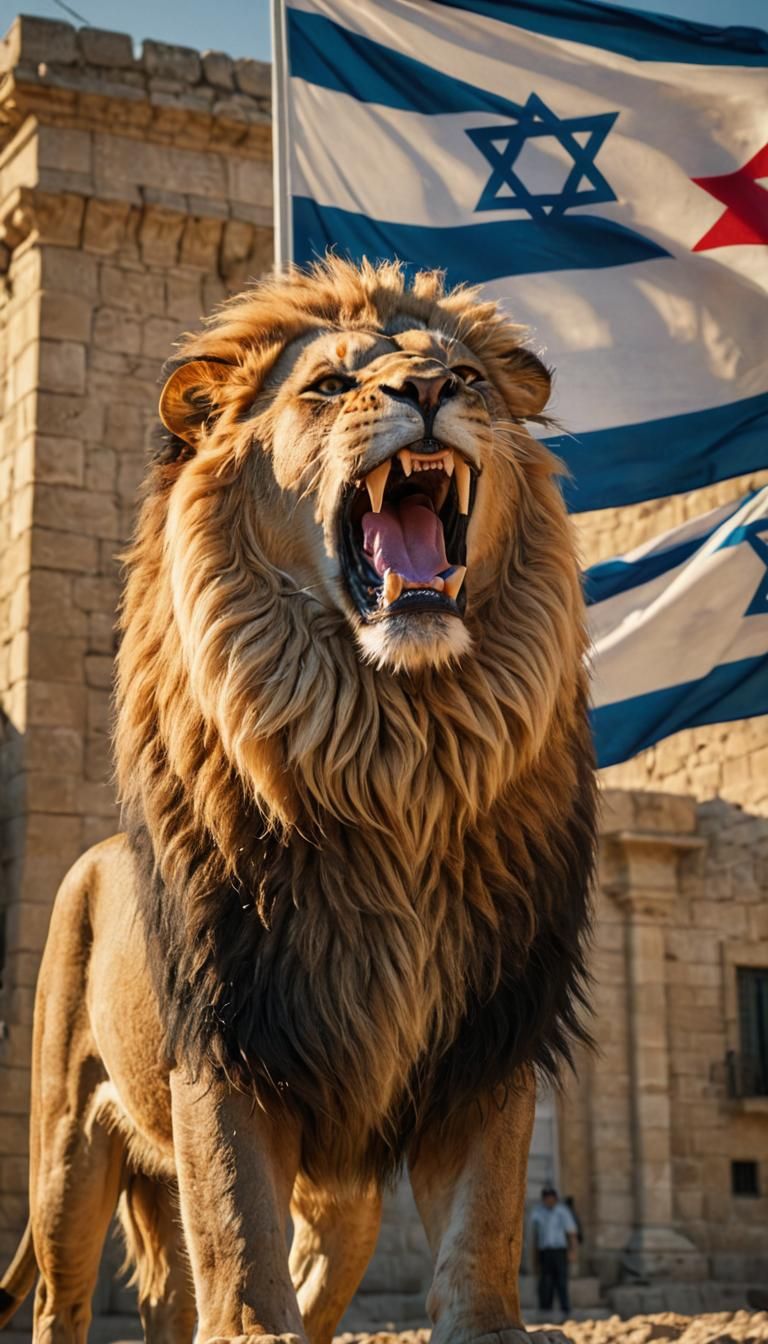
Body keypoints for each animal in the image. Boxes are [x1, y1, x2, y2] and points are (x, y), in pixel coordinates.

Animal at [0, 258, 596, 1344]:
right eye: (328, 385)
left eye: (467, 377)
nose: (429, 390)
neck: (394, 752)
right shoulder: (227, 1044)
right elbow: (241, 1255)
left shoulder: (488, 1045)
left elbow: (482, 1244)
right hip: (66, 1147)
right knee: (68, 1297)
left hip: (342, 1189)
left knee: (228, 1288)